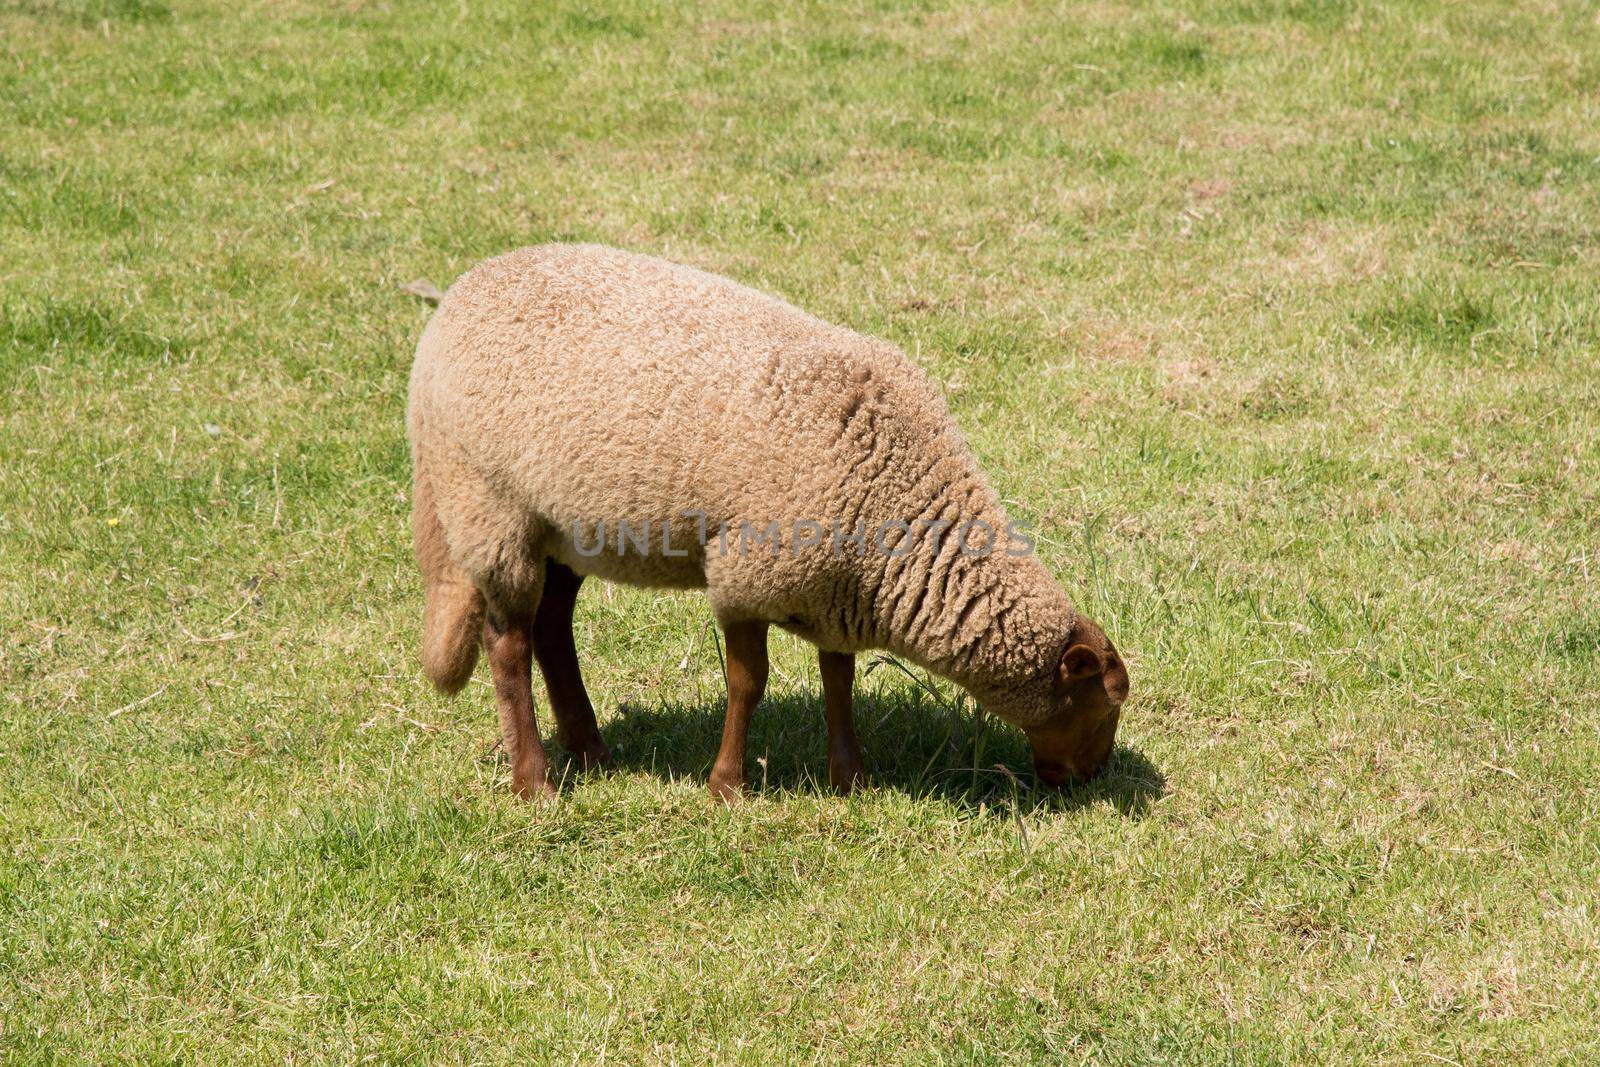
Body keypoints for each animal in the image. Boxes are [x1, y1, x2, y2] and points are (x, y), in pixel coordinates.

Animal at [406, 246, 1132, 799]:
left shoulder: (836, 588)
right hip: (490, 505)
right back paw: (535, 781)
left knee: (553, 627)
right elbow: (748, 684)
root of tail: (461, 293)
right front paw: (727, 786)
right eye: (1105, 706)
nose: (1090, 780)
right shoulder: (747, 574)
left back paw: (591, 751)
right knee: (508, 644)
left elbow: (838, 679)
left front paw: (850, 777)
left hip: (564, 525)